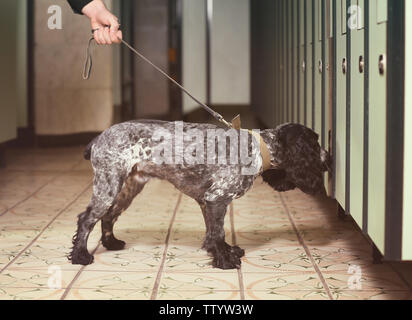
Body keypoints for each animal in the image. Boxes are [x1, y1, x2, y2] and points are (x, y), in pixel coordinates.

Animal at [68, 120, 332, 270]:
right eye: (315, 142)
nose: (329, 157)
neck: (258, 148)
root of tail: (98, 138)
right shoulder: (217, 198)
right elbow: (218, 232)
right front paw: (225, 261)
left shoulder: (207, 202)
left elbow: (213, 234)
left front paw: (223, 252)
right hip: (109, 185)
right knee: (86, 219)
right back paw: (80, 255)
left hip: (127, 187)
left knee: (109, 216)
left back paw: (111, 243)